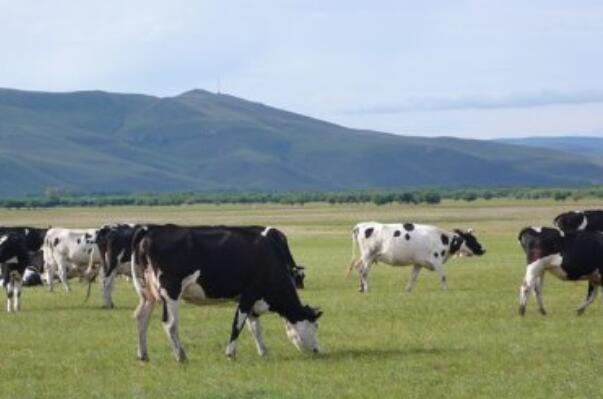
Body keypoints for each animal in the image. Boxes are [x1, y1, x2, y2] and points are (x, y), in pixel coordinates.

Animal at [130, 227, 324, 364]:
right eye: (315, 326)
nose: (317, 350)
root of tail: (149, 232)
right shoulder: (248, 295)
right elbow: (237, 326)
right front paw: (230, 354)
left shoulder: (253, 302)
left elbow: (255, 328)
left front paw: (263, 352)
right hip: (171, 291)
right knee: (170, 325)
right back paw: (181, 356)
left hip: (147, 293)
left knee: (141, 318)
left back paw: (143, 355)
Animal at [350, 223, 486, 292]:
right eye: (472, 239)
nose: (483, 249)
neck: (445, 240)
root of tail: (361, 226)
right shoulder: (437, 260)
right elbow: (443, 277)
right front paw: (446, 290)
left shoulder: (418, 263)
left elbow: (413, 277)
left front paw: (408, 290)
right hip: (368, 255)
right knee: (364, 272)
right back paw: (366, 289)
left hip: (368, 257)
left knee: (359, 269)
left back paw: (360, 288)